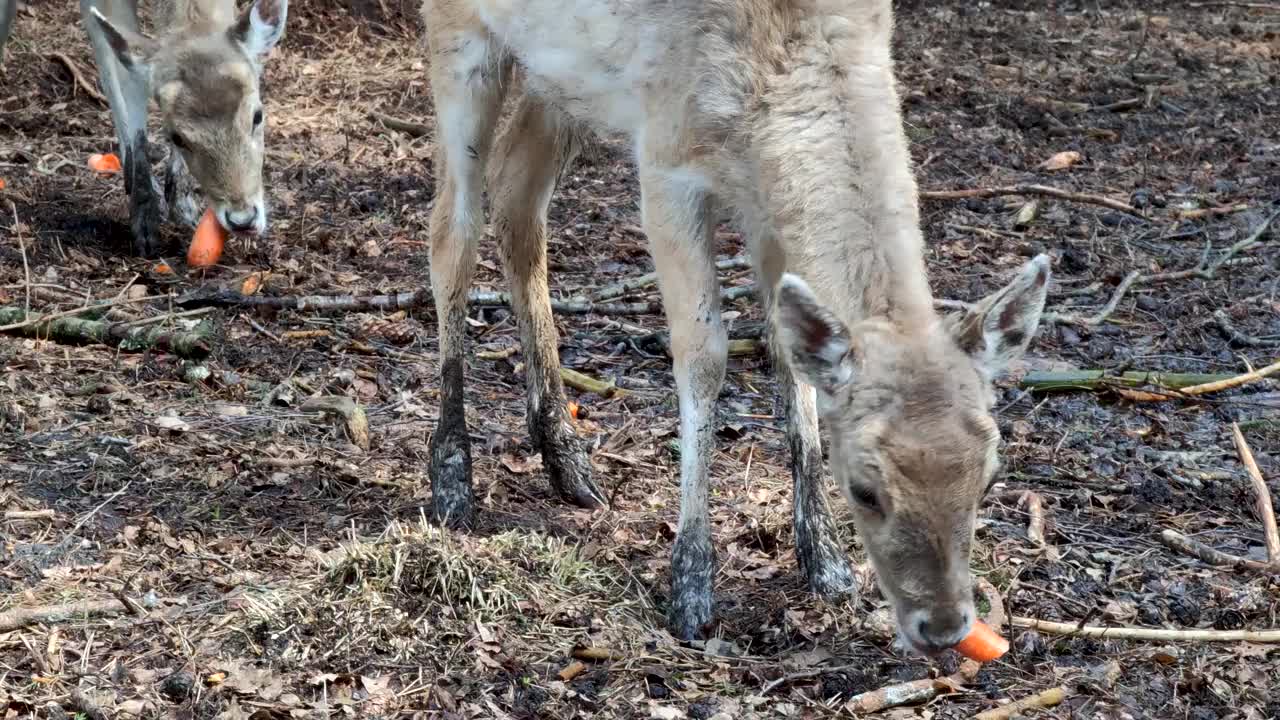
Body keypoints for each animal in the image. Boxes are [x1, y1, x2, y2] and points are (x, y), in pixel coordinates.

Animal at [74, 0, 288, 256]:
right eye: (176, 137)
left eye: (257, 116)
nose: (243, 220)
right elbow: (129, 78)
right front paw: (145, 223)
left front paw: (182, 204)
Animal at [422, 0, 1049, 650]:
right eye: (865, 489)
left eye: (989, 477)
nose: (945, 627)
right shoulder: (664, 154)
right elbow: (703, 355)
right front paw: (691, 590)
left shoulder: (768, 201)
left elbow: (790, 357)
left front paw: (826, 564)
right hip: (458, 35)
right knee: (451, 230)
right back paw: (452, 480)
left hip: (556, 76)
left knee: (516, 197)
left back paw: (568, 460)